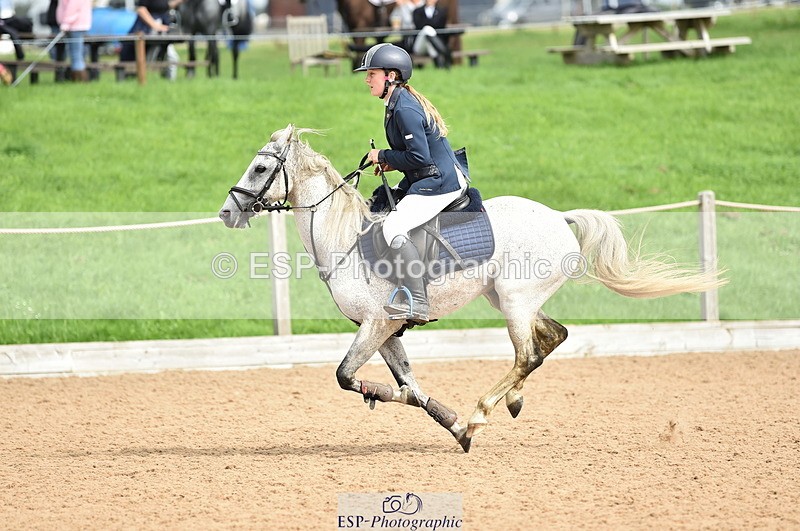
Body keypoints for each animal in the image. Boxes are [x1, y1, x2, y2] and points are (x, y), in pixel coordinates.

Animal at [218, 125, 726, 453]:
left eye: (260, 167)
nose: (227, 212)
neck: (347, 240)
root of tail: (558, 217)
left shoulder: (379, 323)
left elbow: (347, 376)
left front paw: (444, 416)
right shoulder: (385, 330)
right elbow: (410, 385)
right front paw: (451, 423)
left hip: (516, 300)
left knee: (527, 353)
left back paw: (485, 409)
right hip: (506, 298)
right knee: (552, 338)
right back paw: (510, 401)